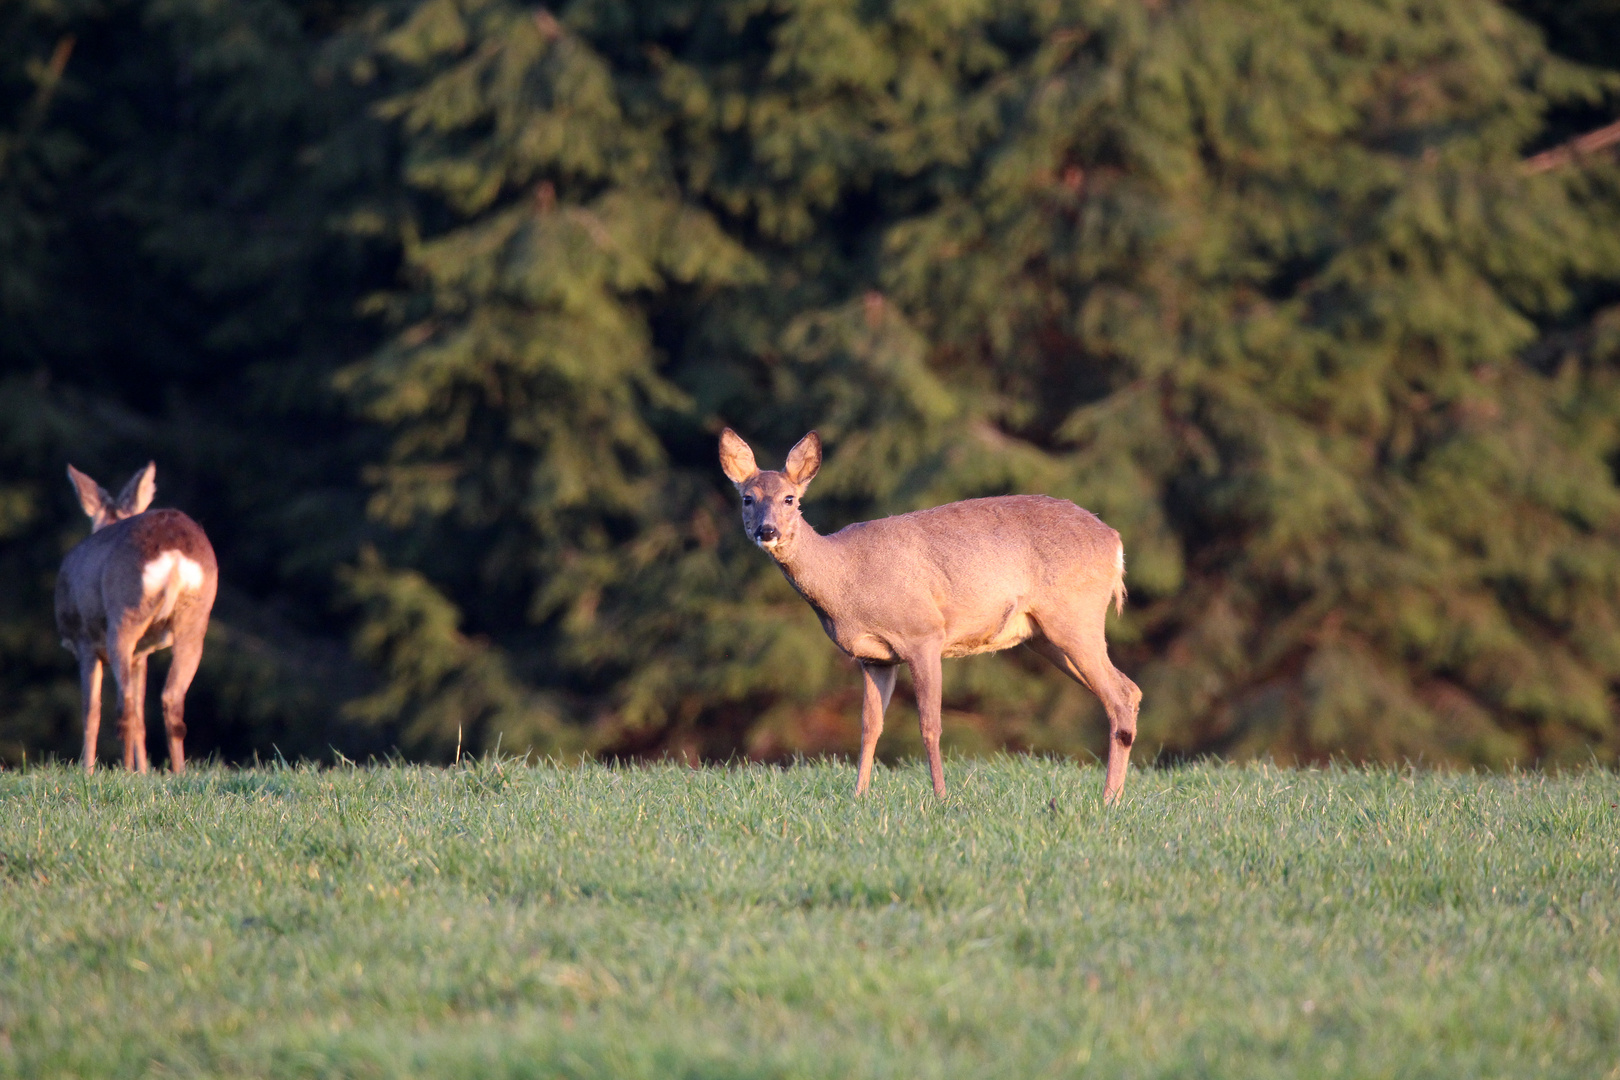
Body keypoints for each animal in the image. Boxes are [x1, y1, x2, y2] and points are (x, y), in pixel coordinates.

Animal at [55, 459, 217, 773]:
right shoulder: (142, 654)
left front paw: (87, 771)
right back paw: (177, 772)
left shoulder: (85, 641)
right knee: (170, 699)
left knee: (125, 704)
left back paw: (125, 772)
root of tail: (174, 552)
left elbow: (90, 712)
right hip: (195, 619)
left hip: (124, 614)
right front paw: (144, 773)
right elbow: (143, 718)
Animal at [722, 430, 1140, 803]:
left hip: (1074, 615)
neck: (845, 578)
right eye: (747, 498)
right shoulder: (873, 658)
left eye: (790, 498)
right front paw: (858, 796)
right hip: (1044, 637)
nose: (767, 531)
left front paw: (941, 797)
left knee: (1119, 696)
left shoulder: (923, 634)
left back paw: (1107, 801)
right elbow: (870, 726)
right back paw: (1116, 797)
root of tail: (1115, 541)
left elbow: (930, 724)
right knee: (1129, 689)